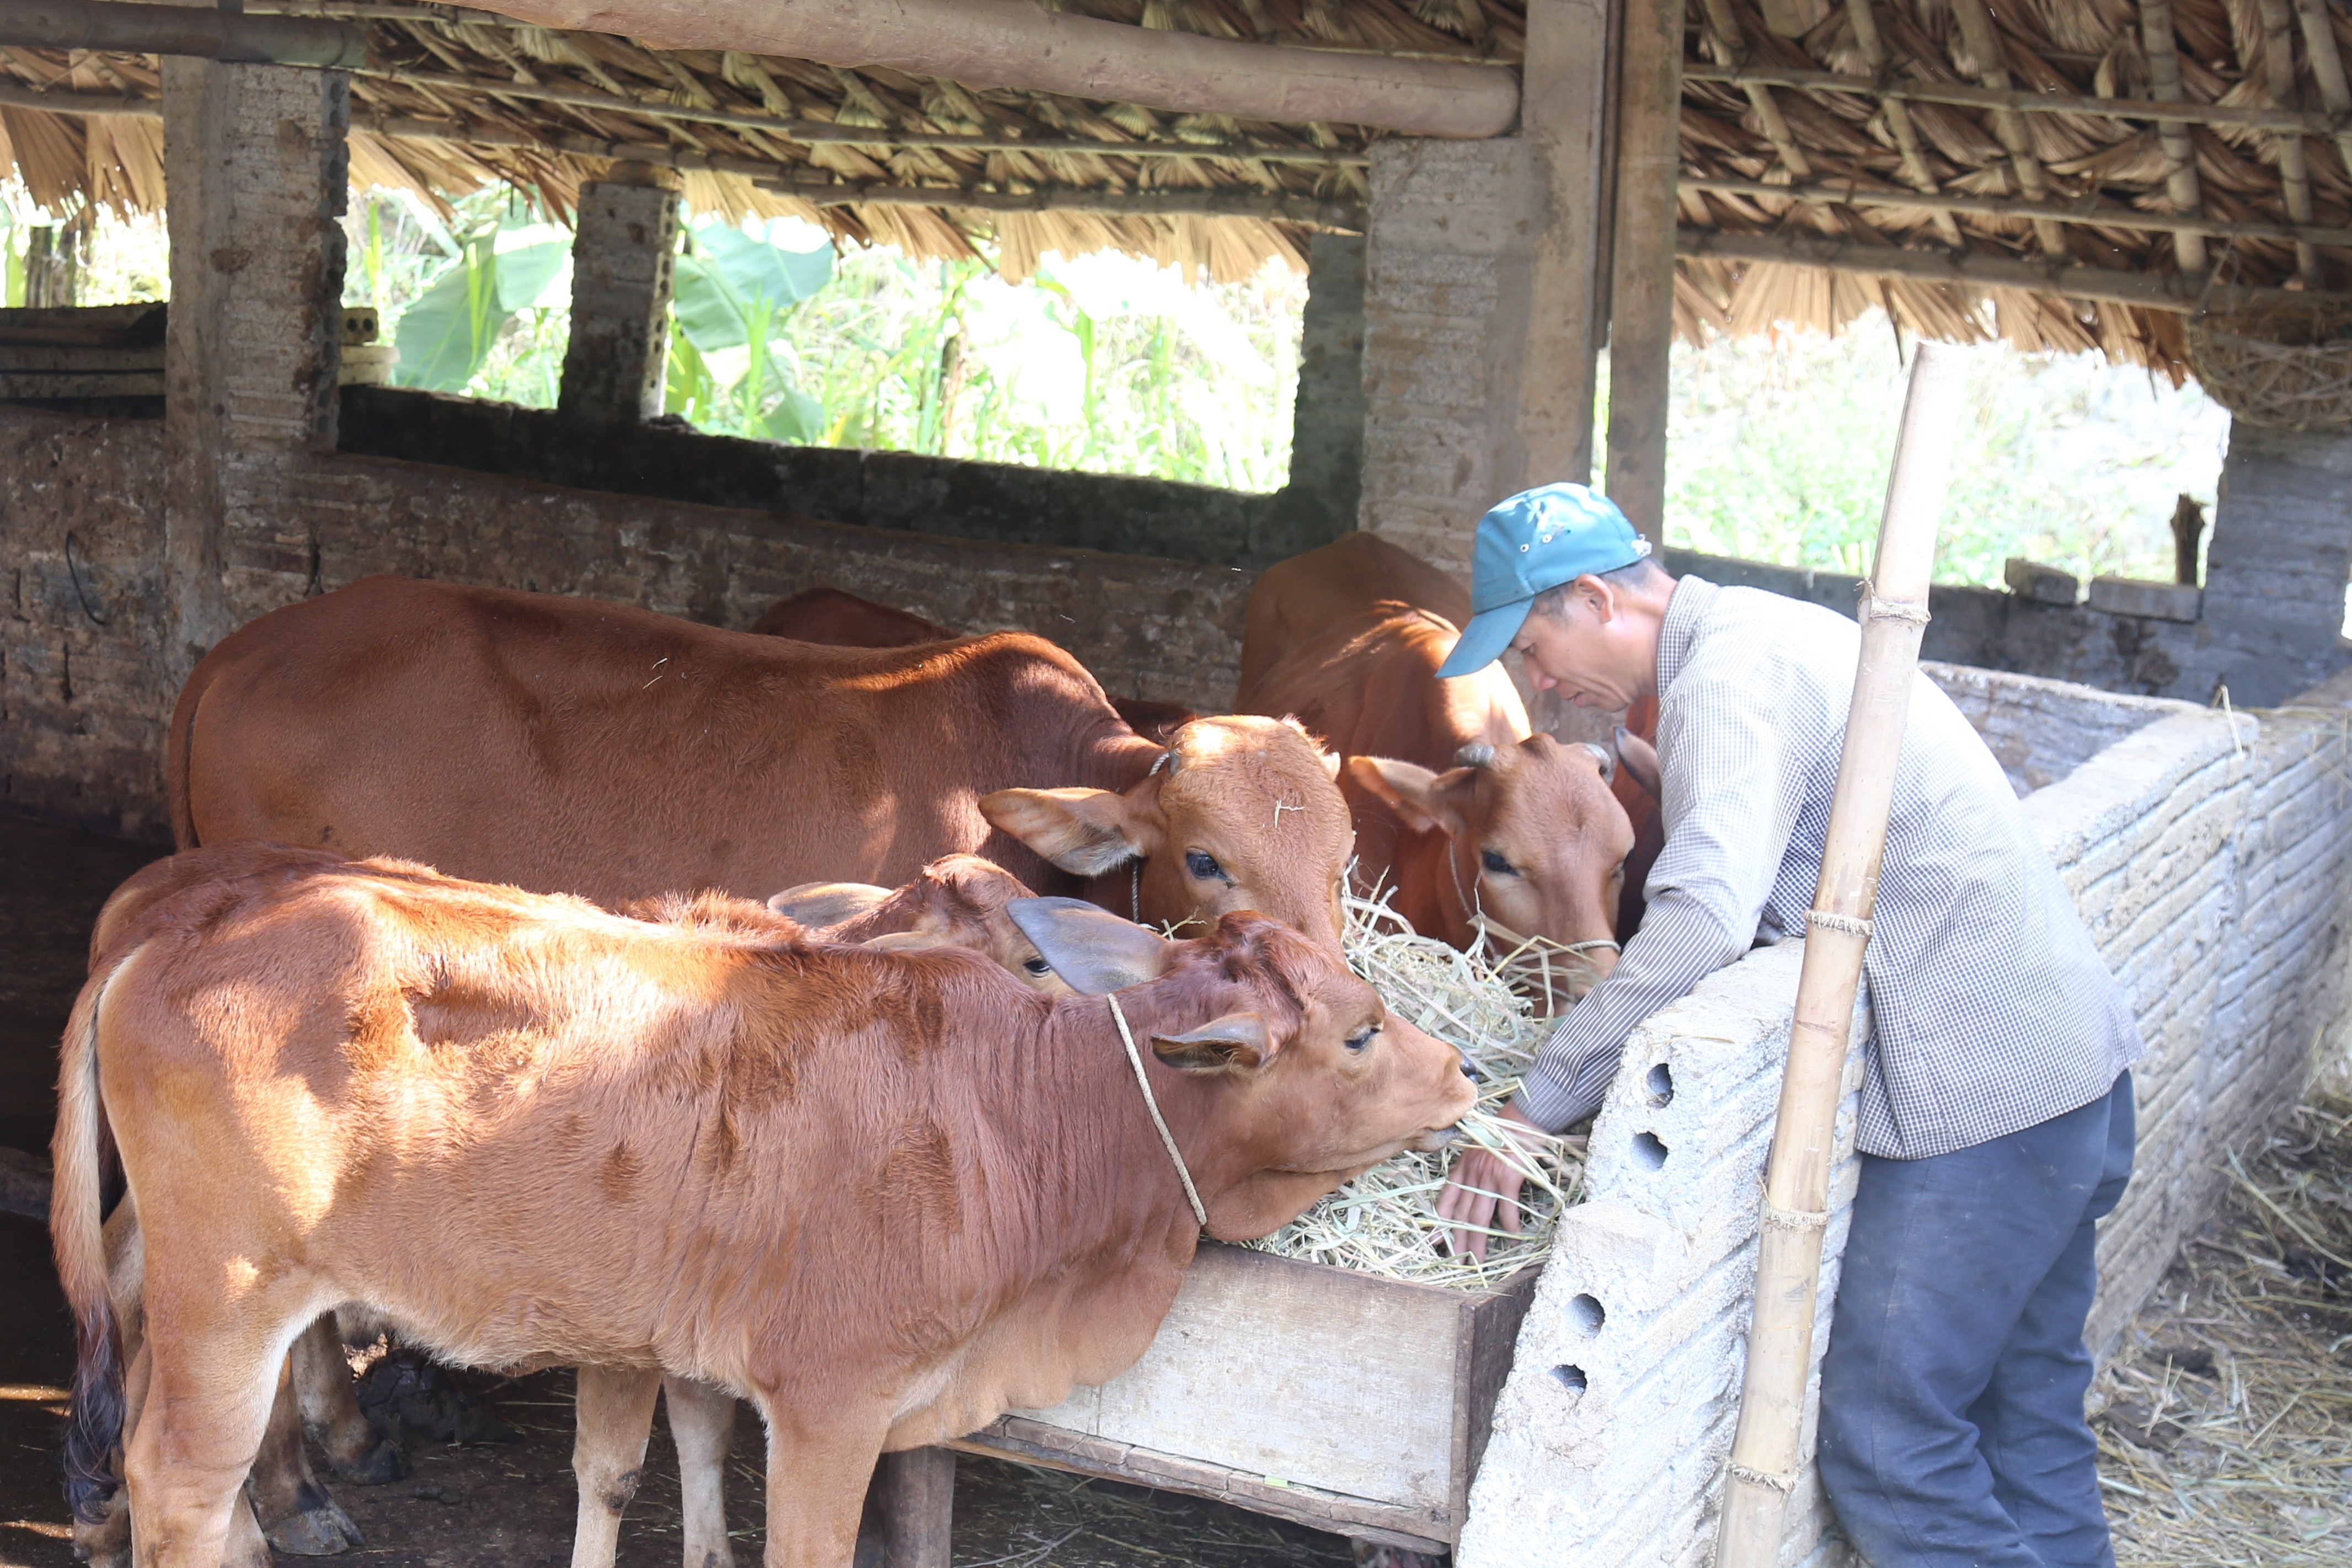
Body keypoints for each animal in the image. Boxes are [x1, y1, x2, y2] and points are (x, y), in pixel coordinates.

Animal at [50, 850, 1467, 1561]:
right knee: (179, 1475)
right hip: (230, 1296)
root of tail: (168, 929)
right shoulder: (830, 1403)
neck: (1023, 1108)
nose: (1462, 1070)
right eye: (1359, 1029)